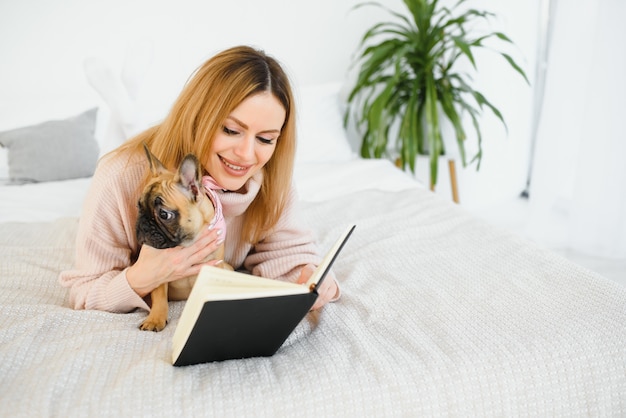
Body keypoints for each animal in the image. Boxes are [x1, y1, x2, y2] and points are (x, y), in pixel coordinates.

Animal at [135, 145, 230, 332]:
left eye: (164, 214)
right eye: (139, 206)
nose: (143, 224)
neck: (187, 243)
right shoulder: (159, 274)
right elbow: (159, 297)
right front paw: (155, 319)